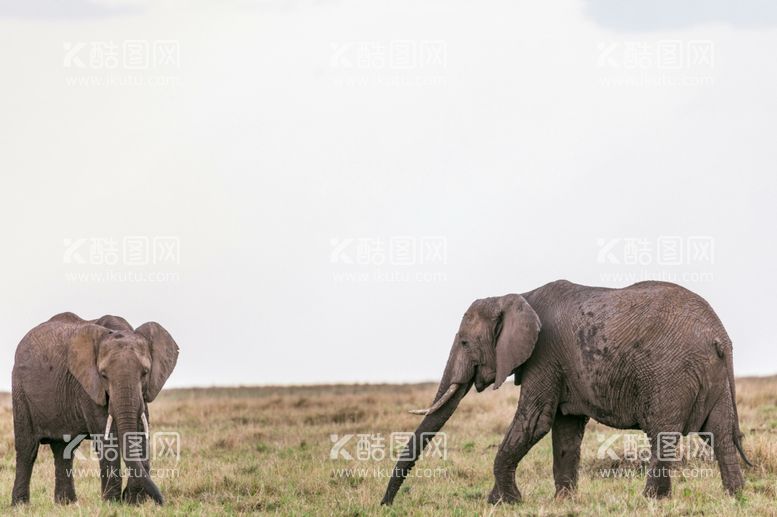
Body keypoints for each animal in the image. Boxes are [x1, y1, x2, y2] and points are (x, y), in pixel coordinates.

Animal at [10, 310, 180, 504]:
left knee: (63, 449)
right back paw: (21, 505)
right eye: (103, 375)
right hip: (20, 390)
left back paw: (66, 504)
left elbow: (140, 431)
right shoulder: (88, 387)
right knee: (27, 448)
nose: (163, 502)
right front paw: (113, 503)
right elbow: (107, 439)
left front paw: (136, 501)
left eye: (145, 372)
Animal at [378, 282, 748, 504]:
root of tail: (719, 337)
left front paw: (507, 502)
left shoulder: (544, 355)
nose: (386, 505)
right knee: (720, 435)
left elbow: (535, 422)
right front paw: (562, 502)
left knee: (663, 435)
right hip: (711, 376)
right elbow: (566, 430)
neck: (516, 295)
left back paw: (651, 501)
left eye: (466, 343)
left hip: (670, 373)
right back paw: (735, 496)